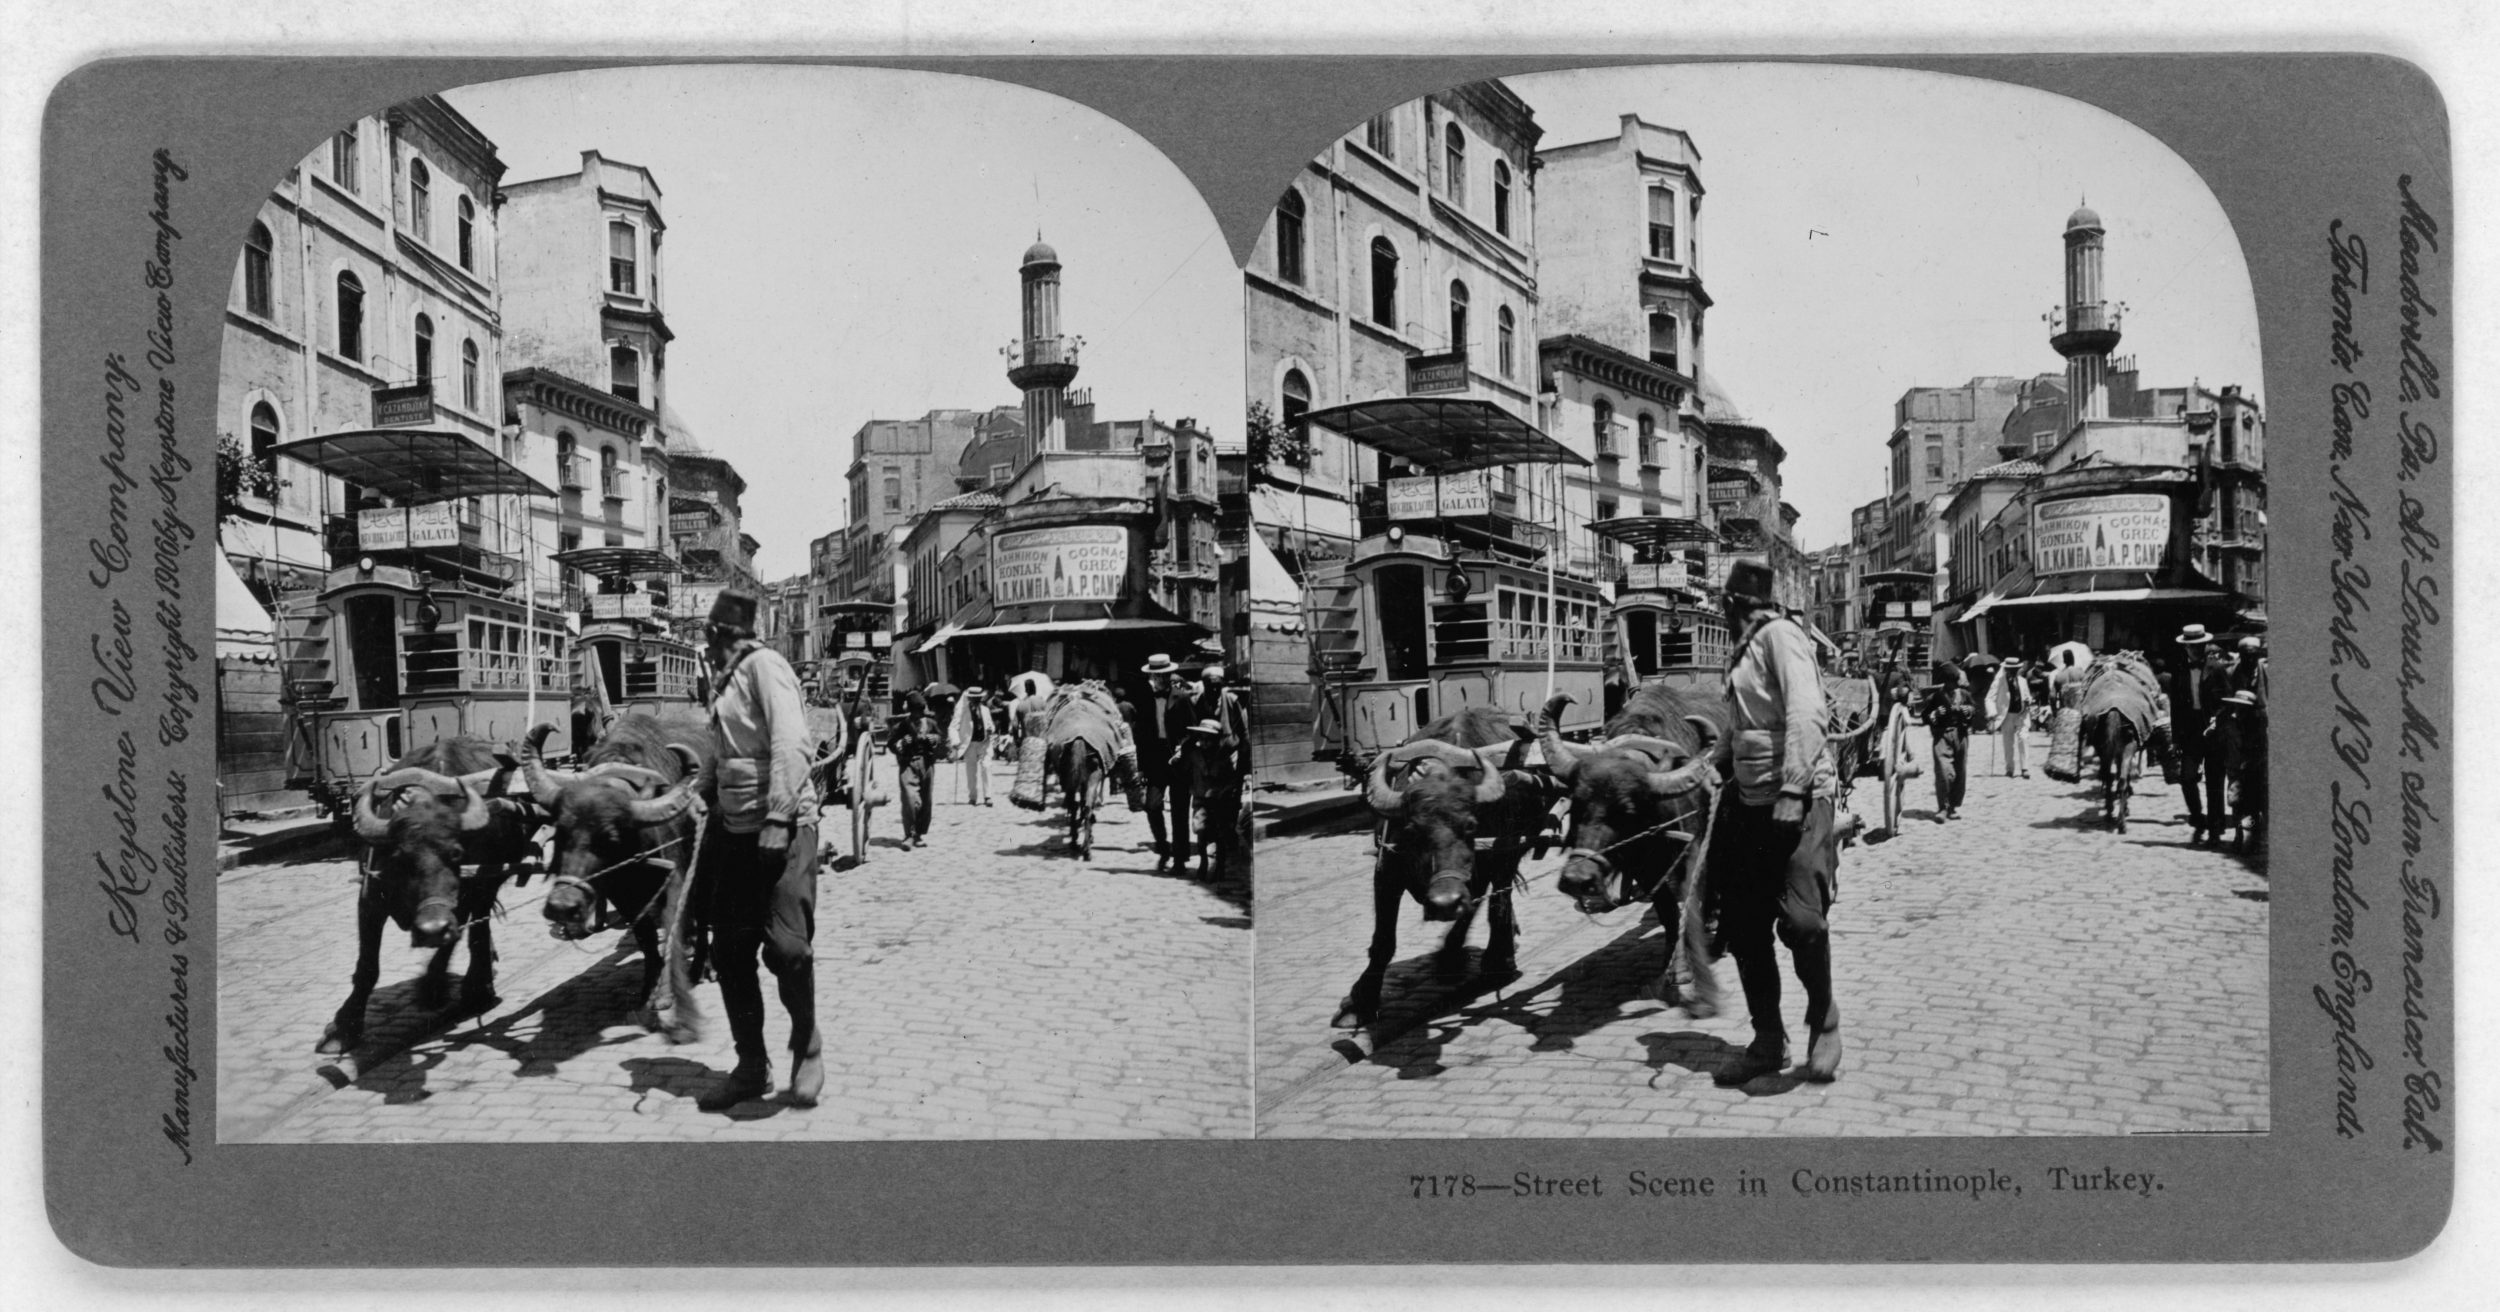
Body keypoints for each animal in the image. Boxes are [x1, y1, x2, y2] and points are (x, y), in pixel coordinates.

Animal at [317, 734, 542, 1054]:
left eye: (457, 853)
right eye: (399, 857)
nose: (432, 929)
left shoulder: (462, 899)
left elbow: (452, 941)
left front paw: (430, 987)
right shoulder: (370, 898)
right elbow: (367, 966)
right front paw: (343, 1028)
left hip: (488, 883)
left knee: (478, 930)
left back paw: (478, 989)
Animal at [517, 709, 710, 1009]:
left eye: (611, 839)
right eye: (561, 831)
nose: (562, 907)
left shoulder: (676, 880)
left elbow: (672, 928)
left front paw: (666, 992)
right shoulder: (622, 895)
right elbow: (645, 936)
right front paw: (649, 987)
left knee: (704, 917)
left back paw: (701, 966)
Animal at [1340, 699, 1530, 1029]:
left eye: (1471, 825)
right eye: (1412, 830)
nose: (1444, 903)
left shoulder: (1486, 862)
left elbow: (1479, 906)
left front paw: (1464, 956)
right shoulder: (1387, 870)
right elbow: (1383, 939)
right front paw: (1361, 1001)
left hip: (1509, 850)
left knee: (1499, 900)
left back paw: (1496, 956)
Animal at [1530, 684, 1730, 1014]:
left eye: (1626, 812)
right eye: (1578, 803)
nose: (1578, 880)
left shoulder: (1690, 854)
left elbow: (1688, 909)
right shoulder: (1645, 870)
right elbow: (1668, 913)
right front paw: (1673, 966)